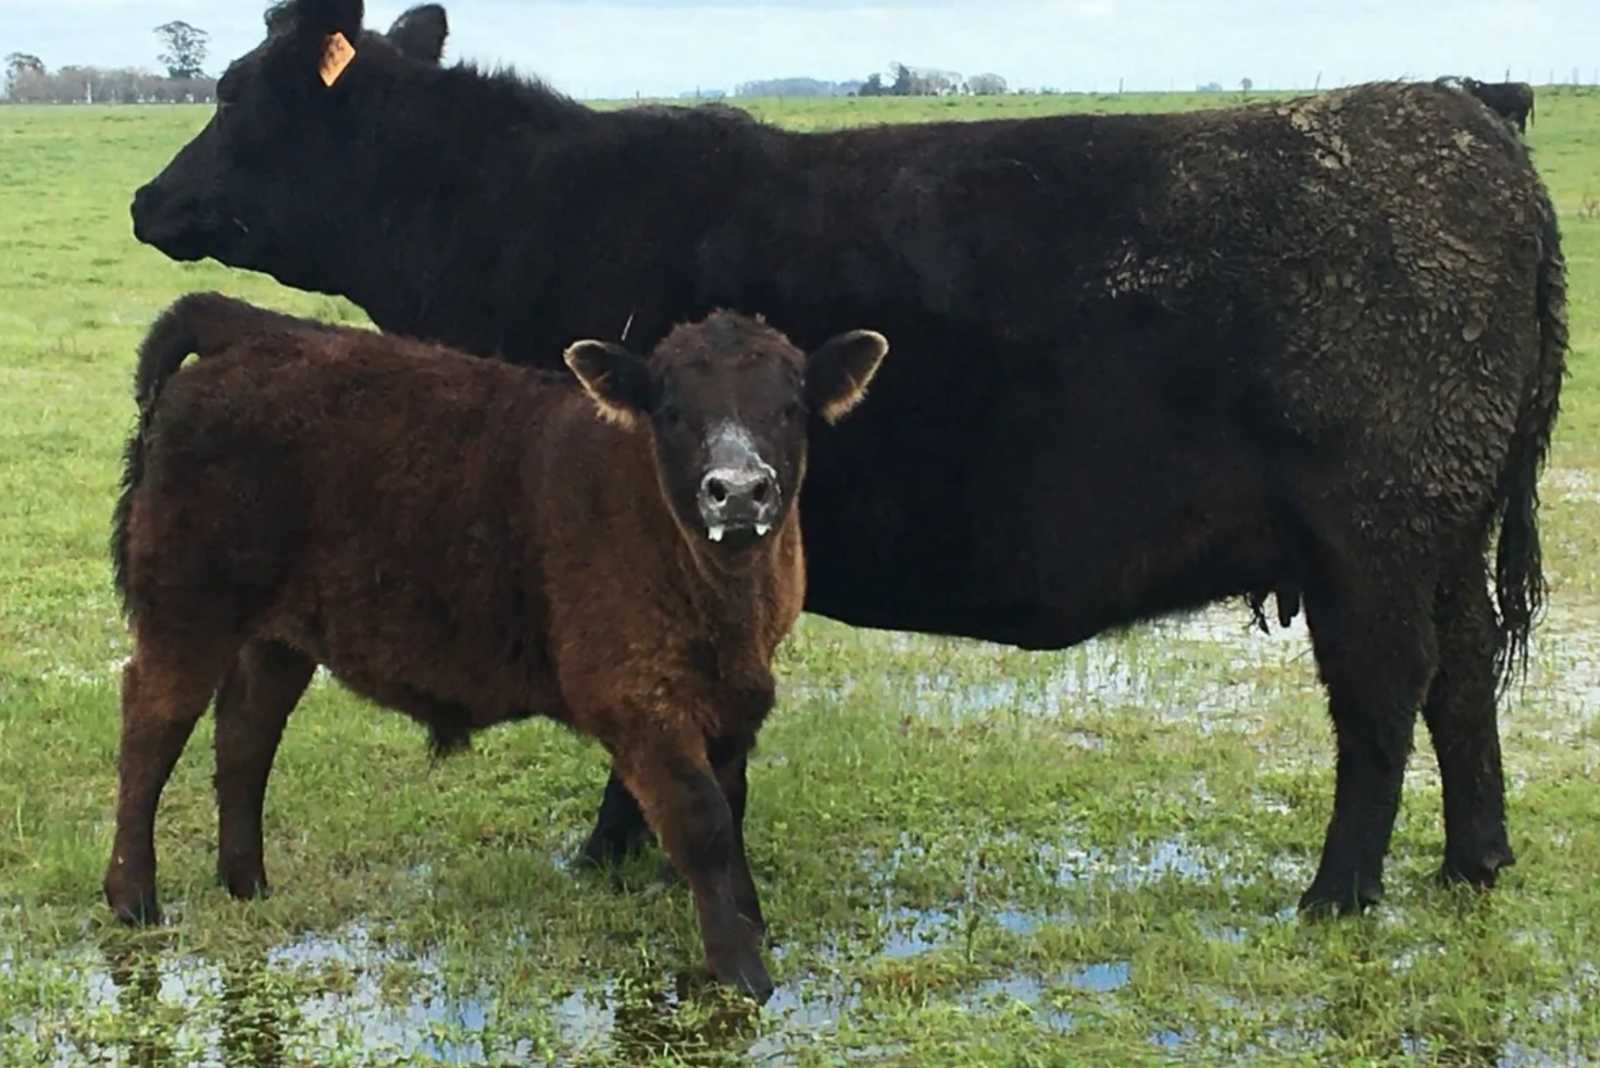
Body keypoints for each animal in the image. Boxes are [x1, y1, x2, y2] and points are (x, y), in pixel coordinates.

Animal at [108, 294, 896, 1004]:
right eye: (672, 410)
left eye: (790, 407)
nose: (737, 492)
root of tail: (247, 328)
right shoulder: (637, 700)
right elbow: (702, 822)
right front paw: (743, 973)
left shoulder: (733, 700)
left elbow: (732, 812)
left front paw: (752, 926)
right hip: (186, 611)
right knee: (152, 725)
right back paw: (133, 898)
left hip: (276, 636)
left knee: (245, 736)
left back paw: (247, 884)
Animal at [131, 0, 1568, 920]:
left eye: (235, 97)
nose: (150, 200)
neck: (516, 214)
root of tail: (1462, 113)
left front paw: (615, 848)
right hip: (1441, 533)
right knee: (1461, 691)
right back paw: (1476, 864)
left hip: (1370, 535)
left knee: (1382, 700)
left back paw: (1337, 896)